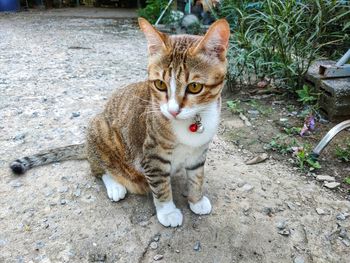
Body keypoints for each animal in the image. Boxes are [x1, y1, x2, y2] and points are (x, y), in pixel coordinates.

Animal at [9, 17, 230, 228]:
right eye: (160, 84)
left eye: (194, 87)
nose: (173, 110)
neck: (190, 123)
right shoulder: (152, 155)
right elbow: (160, 185)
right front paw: (168, 211)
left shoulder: (199, 151)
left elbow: (197, 176)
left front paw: (196, 199)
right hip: (99, 128)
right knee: (98, 169)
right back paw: (115, 185)